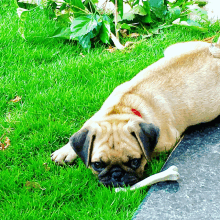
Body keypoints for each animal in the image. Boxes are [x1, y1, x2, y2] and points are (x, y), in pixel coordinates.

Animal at [50, 37, 220, 187]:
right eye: (97, 164)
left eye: (135, 162)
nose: (117, 175)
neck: (122, 108)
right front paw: (66, 151)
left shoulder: (167, 142)